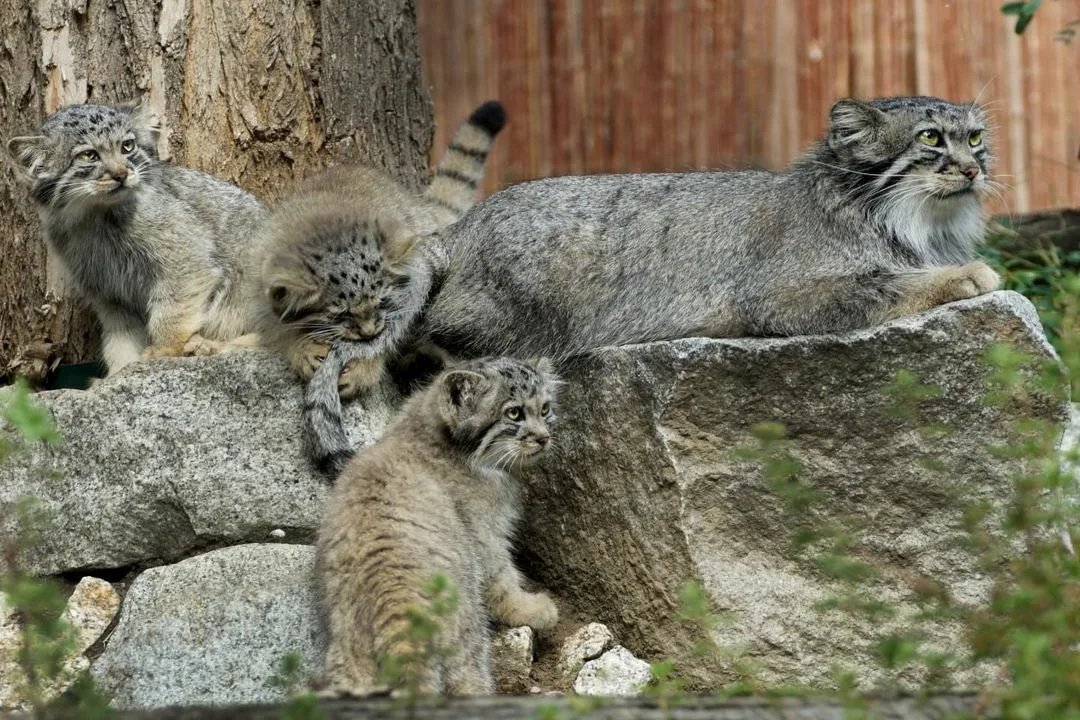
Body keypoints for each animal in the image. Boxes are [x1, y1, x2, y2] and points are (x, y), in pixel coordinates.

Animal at [315, 358, 561, 695]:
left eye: (545, 409)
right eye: (514, 413)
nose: (544, 437)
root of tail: (395, 607)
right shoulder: (484, 534)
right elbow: (502, 579)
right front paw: (530, 608)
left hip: (349, 669)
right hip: (468, 641)